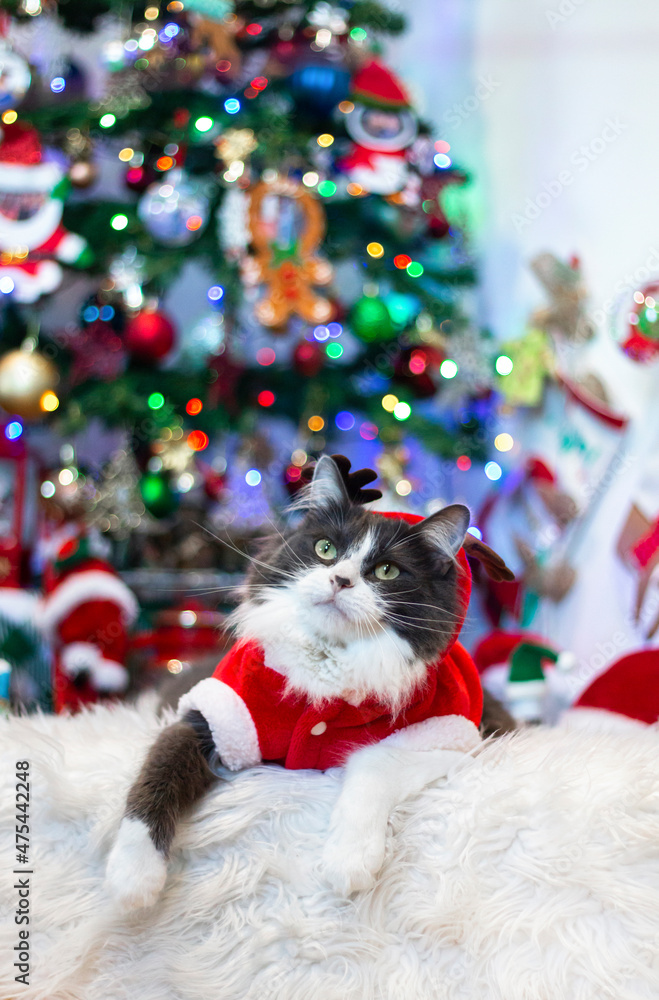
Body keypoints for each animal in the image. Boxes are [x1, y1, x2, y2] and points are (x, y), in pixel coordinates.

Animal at [105, 458, 516, 912]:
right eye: (325, 550)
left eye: (387, 571)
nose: (341, 580)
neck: (328, 659)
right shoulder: (218, 716)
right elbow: (157, 773)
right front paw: (132, 878)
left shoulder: (458, 740)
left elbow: (375, 760)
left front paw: (348, 859)